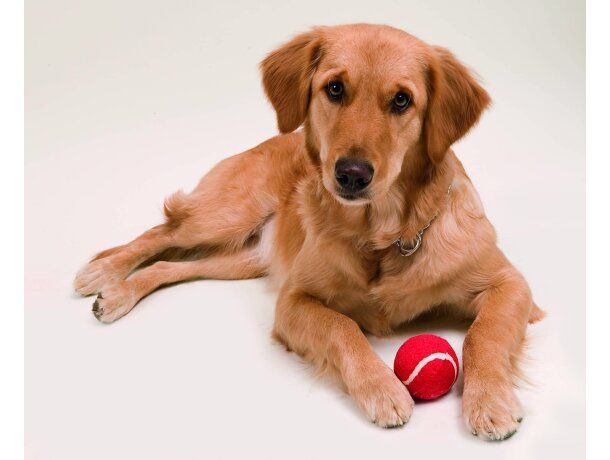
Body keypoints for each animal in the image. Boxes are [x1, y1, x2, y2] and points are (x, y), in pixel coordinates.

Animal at [73, 24, 544, 438]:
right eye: (334, 88)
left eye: (402, 100)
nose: (351, 174)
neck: (385, 236)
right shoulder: (293, 301)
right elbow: (343, 327)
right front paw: (382, 388)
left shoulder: (509, 284)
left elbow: (483, 335)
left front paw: (489, 401)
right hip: (226, 215)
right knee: (162, 232)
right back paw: (103, 273)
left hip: (241, 259)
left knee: (170, 266)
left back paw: (117, 294)